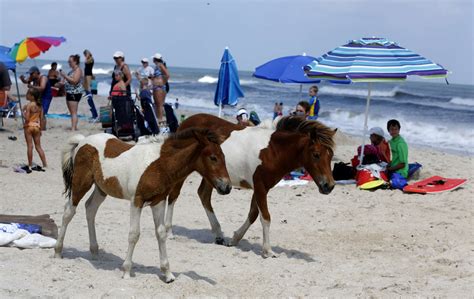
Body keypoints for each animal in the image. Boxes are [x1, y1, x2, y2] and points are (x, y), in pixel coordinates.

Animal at [54, 129, 231, 284]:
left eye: (224, 156)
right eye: (213, 157)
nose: (227, 187)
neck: (160, 164)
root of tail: (83, 141)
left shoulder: (159, 201)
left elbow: (161, 233)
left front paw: (167, 274)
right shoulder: (136, 201)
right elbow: (134, 234)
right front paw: (126, 271)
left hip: (101, 189)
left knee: (90, 209)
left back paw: (95, 253)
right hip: (81, 183)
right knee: (69, 211)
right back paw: (57, 252)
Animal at [167, 113, 336, 258]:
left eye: (331, 156)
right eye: (316, 154)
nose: (329, 186)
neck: (273, 151)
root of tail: (185, 123)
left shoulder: (261, 188)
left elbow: (253, 214)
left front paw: (234, 239)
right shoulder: (260, 186)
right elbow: (265, 217)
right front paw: (268, 250)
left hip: (212, 177)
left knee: (203, 195)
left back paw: (219, 235)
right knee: (174, 196)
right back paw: (169, 232)